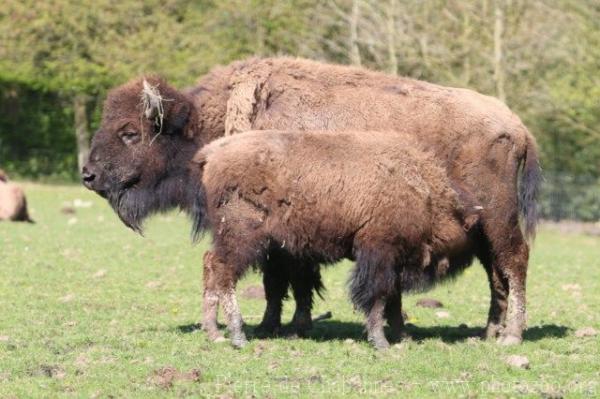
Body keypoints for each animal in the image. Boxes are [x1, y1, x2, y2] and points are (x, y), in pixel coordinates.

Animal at [195, 131, 486, 350]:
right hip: (243, 239)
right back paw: (238, 336)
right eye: (468, 230)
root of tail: (212, 153)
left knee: (209, 265)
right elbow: (378, 296)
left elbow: (393, 300)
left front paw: (403, 337)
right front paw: (380, 342)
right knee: (223, 273)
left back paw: (214, 332)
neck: (423, 189)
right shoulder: (380, 252)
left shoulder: (393, 261)